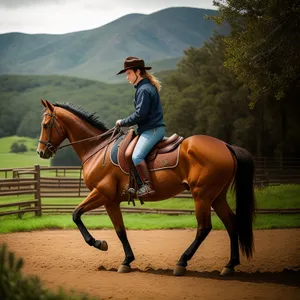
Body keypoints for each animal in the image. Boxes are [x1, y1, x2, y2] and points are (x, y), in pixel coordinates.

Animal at [36, 100, 254, 276]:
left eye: (46, 125)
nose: (40, 152)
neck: (98, 149)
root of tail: (225, 146)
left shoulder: (101, 194)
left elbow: (76, 215)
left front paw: (99, 243)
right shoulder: (111, 201)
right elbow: (120, 231)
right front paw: (127, 261)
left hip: (202, 196)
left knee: (204, 228)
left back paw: (182, 262)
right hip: (217, 197)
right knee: (231, 223)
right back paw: (229, 265)